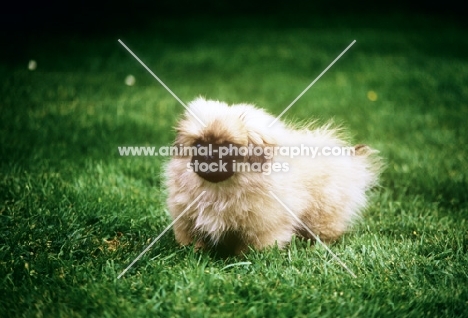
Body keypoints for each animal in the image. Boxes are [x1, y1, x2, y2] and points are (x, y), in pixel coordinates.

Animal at [165, 97, 380, 256]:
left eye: (227, 148)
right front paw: (194, 253)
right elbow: (193, 241)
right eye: (199, 145)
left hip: (323, 214)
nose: (209, 155)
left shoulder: (264, 226)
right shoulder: (187, 221)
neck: (219, 191)